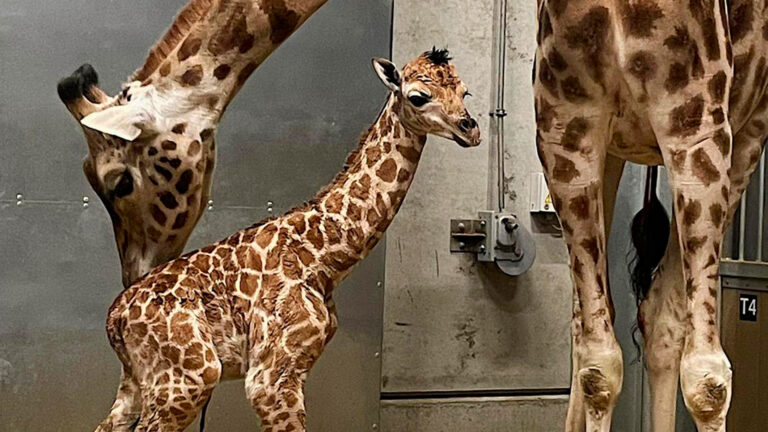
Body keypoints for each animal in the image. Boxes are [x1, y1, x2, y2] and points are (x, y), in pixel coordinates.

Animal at [94, 49, 480, 432]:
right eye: (418, 96)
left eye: (465, 92)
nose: (471, 129)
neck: (324, 258)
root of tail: (113, 319)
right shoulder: (271, 377)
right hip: (189, 378)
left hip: (138, 381)